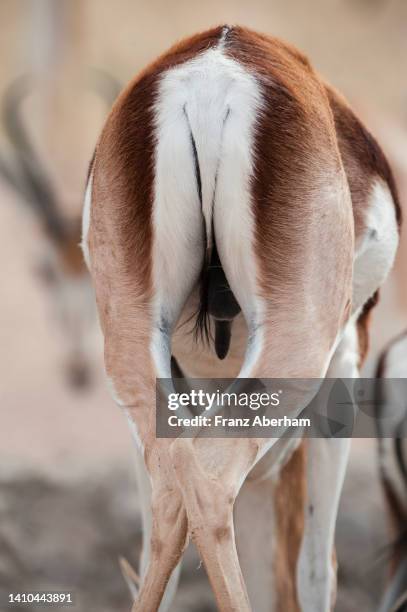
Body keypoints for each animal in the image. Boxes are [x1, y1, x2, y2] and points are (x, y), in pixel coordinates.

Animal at [83, 26, 402, 608]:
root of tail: (211, 78)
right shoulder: (345, 362)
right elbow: (315, 568)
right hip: (297, 355)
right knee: (211, 482)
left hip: (134, 356)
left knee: (169, 501)